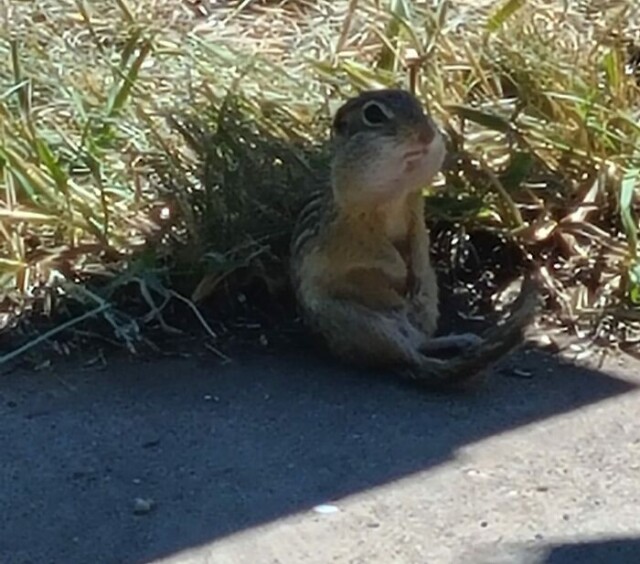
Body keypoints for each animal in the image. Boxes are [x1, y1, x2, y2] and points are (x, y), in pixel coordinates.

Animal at [292, 89, 540, 388]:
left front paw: (416, 268)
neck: (394, 194)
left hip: (427, 305)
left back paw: (461, 339)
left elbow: (419, 242)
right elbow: (378, 252)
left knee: (419, 342)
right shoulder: (351, 232)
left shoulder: (415, 211)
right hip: (361, 323)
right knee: (411, 358)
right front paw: (399, 270)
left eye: (417, 104)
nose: (426, 135)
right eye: (373, 114)